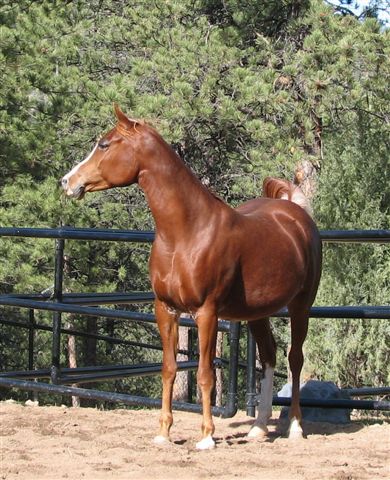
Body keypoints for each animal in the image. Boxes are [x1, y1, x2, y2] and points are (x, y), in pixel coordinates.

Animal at [62, 105, 322, 450]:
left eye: (104, 145)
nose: (67, 181)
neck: (186, 233)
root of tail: (294, 213)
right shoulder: (166, 309)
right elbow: (170, 369)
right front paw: (163, 433)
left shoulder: (207, 313)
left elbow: (204, 374)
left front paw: (207, 437)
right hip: (257, 313)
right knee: (268, 356)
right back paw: (258, 428)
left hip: (300, 307)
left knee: (295, 359)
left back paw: (294, 426)